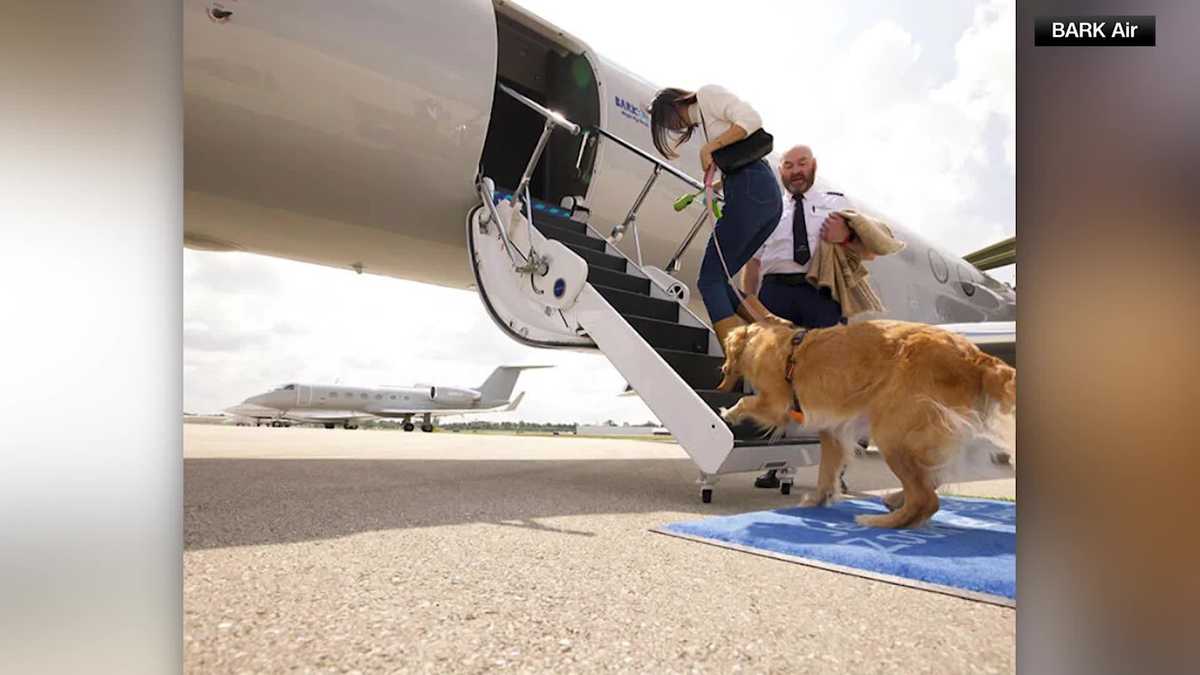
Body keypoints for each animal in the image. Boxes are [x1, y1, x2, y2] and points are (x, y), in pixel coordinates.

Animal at [715, 317, 1017, 528]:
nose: (722, 370)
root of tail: (976, 356)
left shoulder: (776, 403)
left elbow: (747, 402)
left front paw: (729, 412)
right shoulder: (832, 431)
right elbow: (827, 472)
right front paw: (818, 499)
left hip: (892, 432)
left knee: (926, 498)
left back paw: (879, 521)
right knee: (933, 478)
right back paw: (895, 500)